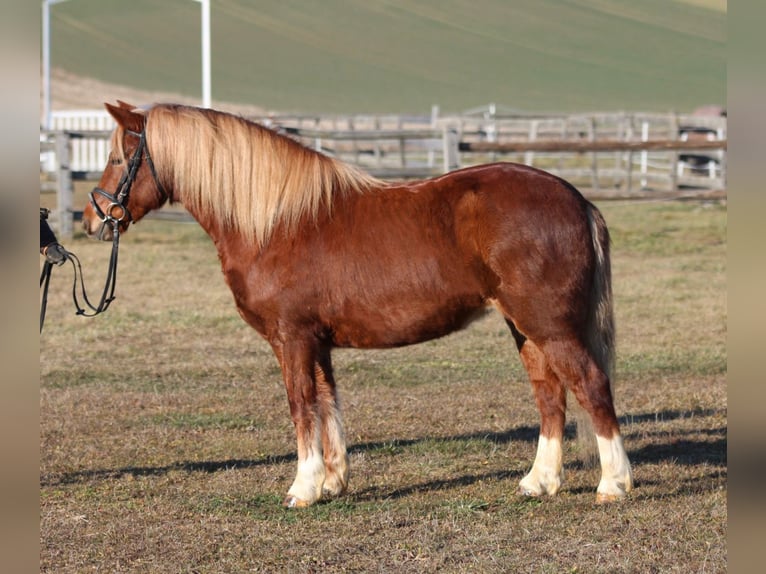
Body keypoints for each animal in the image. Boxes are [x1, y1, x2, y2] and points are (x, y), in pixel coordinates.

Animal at [85, 102, 636, 508]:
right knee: (550, 395)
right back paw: (539, 482)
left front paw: (303, 488)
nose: (94, 221)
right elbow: (328, 405)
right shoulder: (316, 343)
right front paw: (332, 482)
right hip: (526, 327)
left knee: (591, 385)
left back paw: (613, 484)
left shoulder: (292, 339)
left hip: (551, 326)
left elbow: (302, 406)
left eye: (116, 158)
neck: (274, 221)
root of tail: (576, 199)